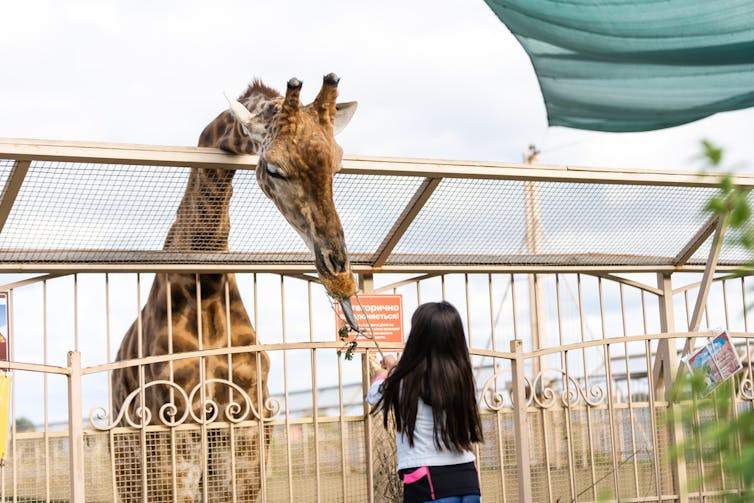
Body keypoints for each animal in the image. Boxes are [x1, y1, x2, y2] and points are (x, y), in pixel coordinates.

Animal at [111, 75, 358, 503]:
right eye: (274, 168)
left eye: (337, 165)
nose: (335, 261)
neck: (206, 288)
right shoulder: (174, 426)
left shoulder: (244, 429)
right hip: (127, 459)